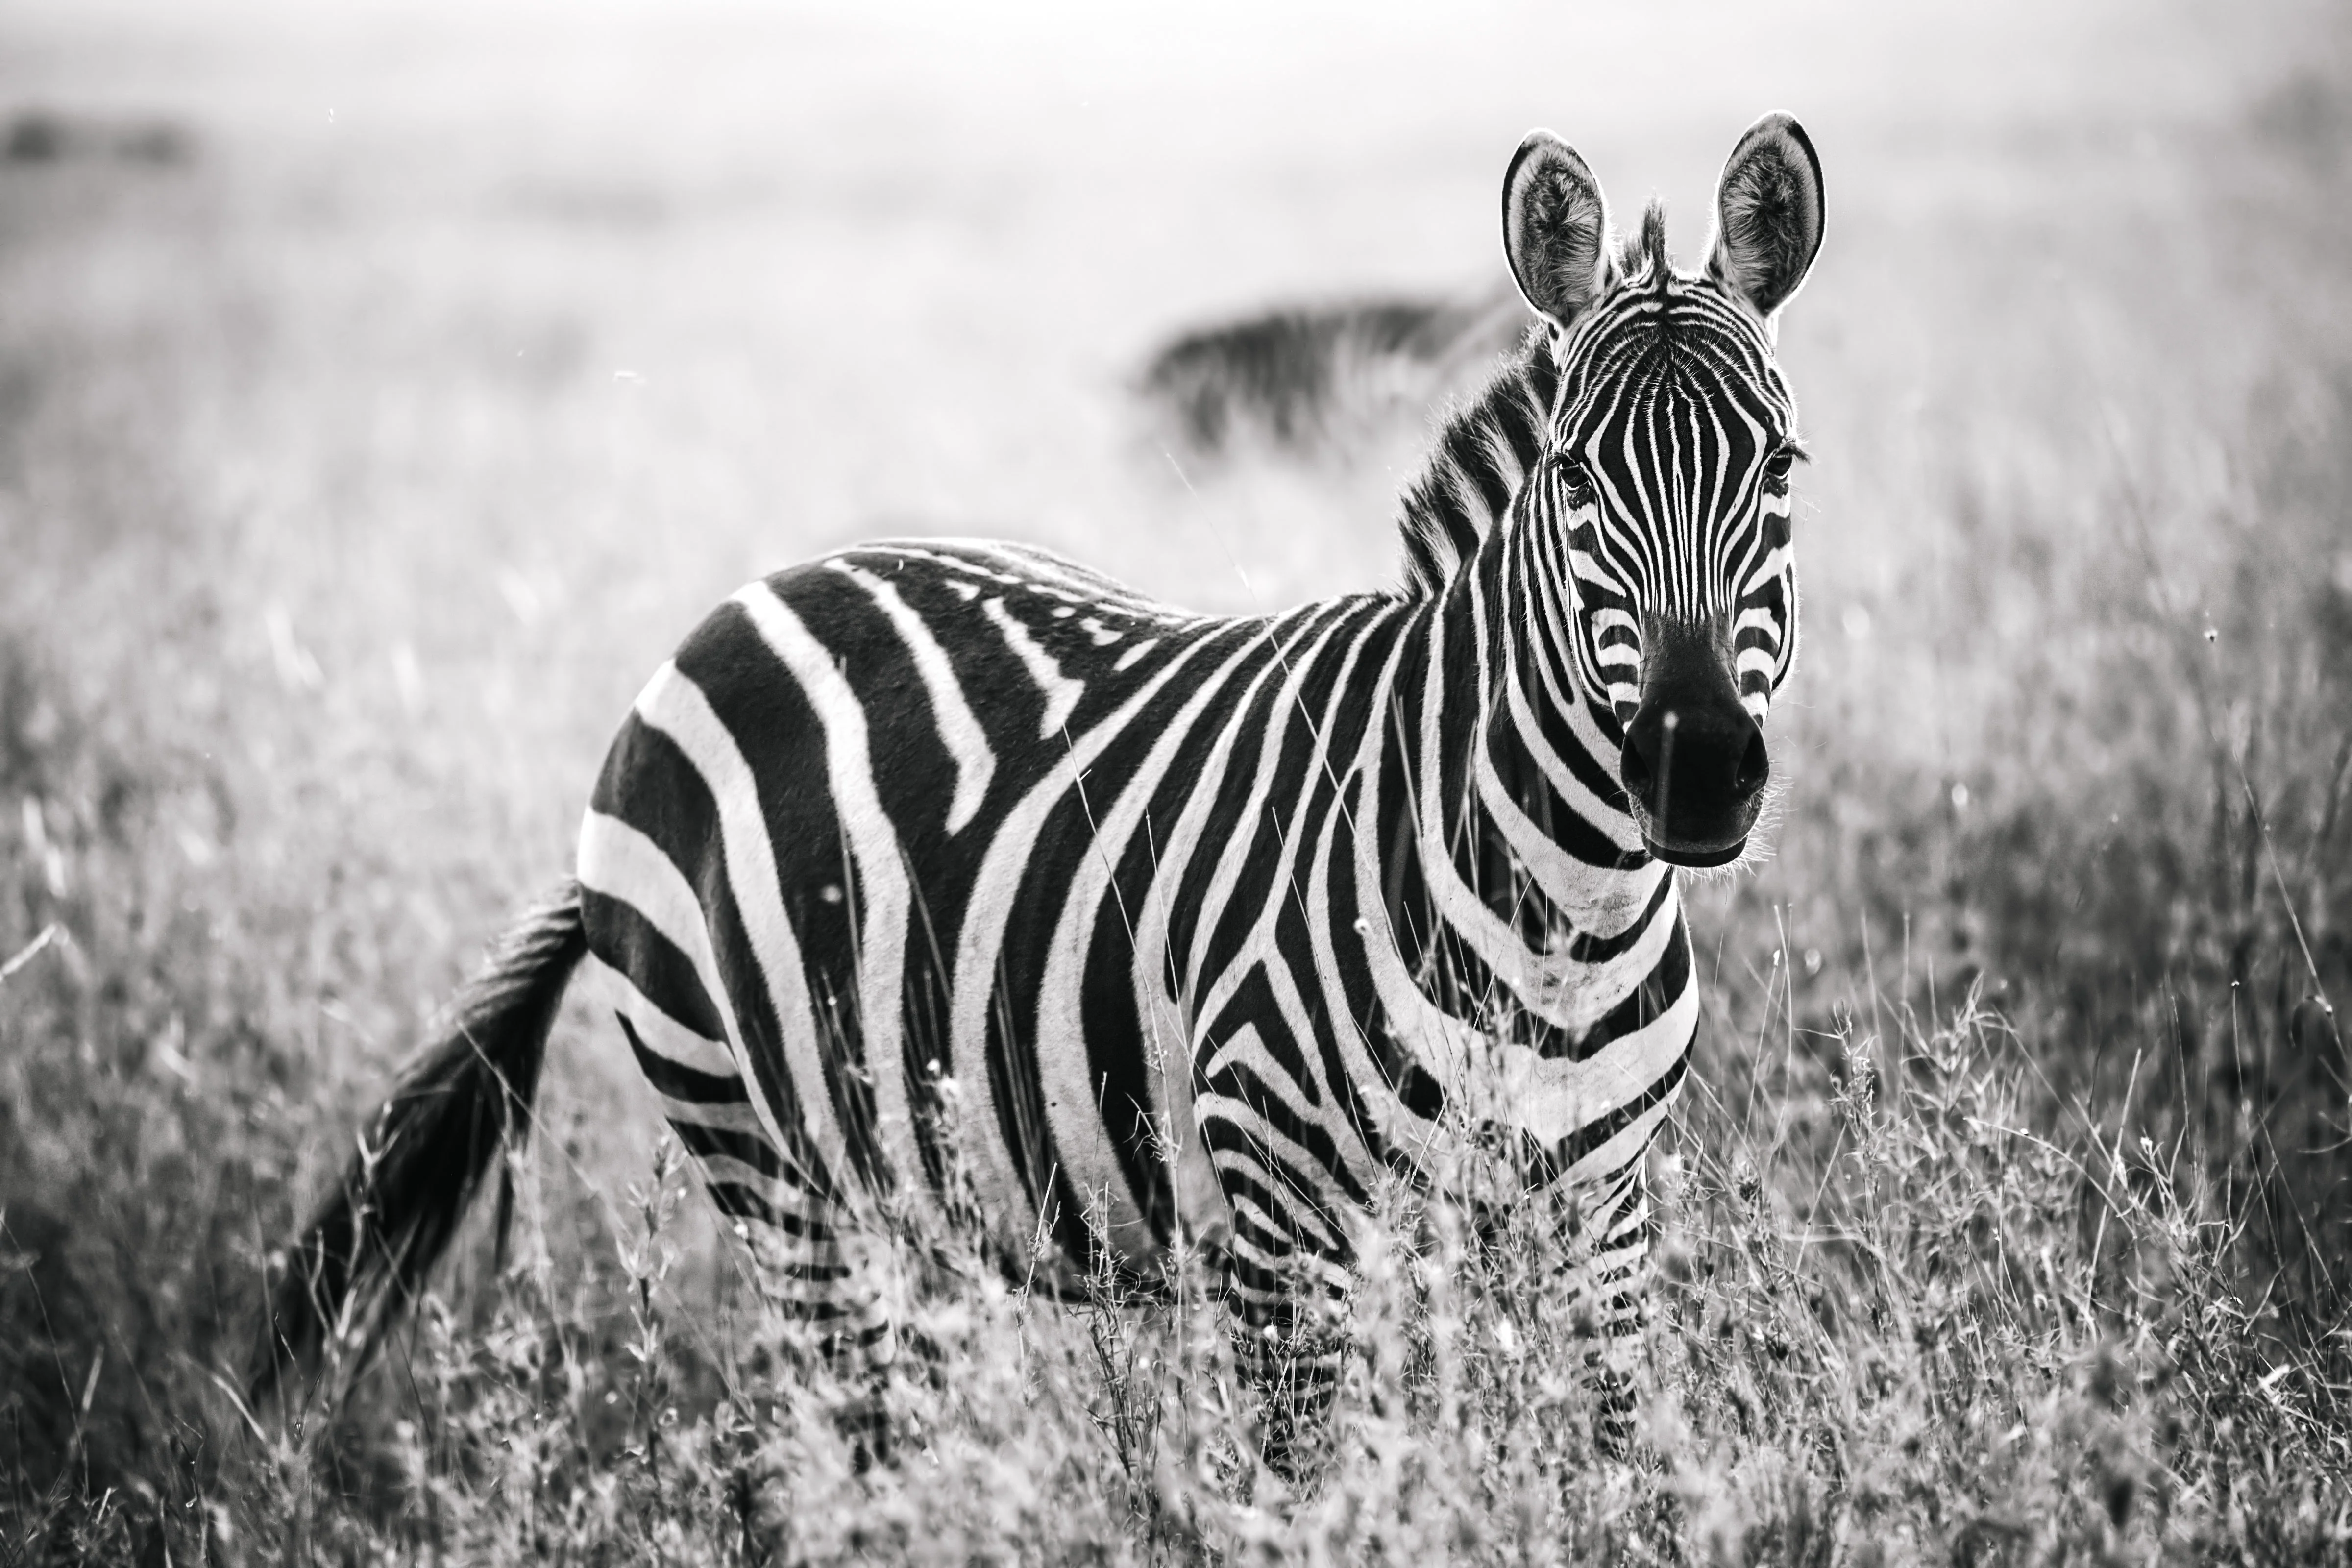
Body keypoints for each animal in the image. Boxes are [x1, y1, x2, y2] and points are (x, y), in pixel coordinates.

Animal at [258, 113, 1825, 1475]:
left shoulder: (1599, 1220)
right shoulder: (1285, 1227)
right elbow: (1315, 1495)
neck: (1564, 909)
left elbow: (1618, 1471)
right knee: (846, 1460)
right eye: (1574, 476)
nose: (1691, 769)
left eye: (1782, 463)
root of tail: (727, 615)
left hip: (911, 1190)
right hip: (775, 1171)